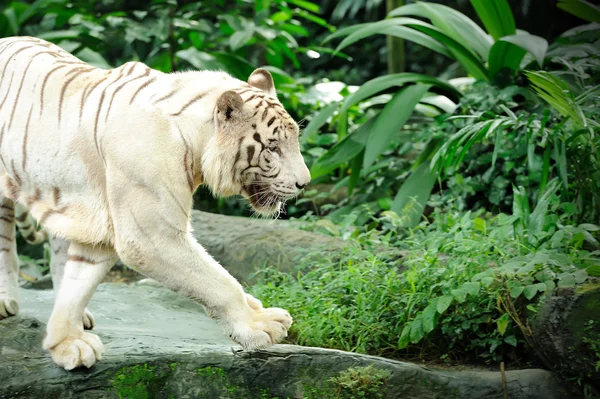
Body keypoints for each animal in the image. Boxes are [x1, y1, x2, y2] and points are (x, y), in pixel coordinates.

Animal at [0, 37, 310, 372]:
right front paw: (259, 326)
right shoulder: (150, 236)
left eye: (294, 139)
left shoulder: (101, 230)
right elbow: (216, 281)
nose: (304, 183)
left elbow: (78, 283)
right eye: (273, 147)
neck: (195, 144)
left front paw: (66, 342)